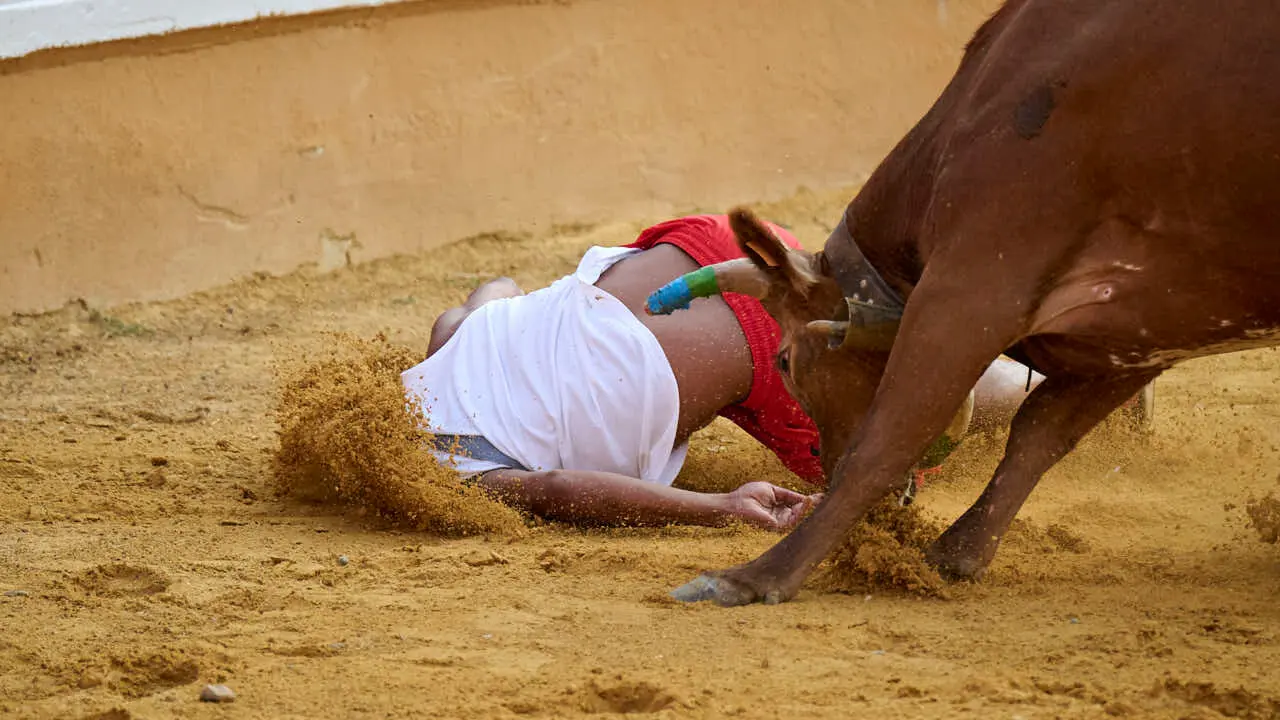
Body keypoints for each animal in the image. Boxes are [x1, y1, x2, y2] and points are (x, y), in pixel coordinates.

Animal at [644, 0, 1280, 606]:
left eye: (784, 363)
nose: (820, 461)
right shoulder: (1135, 335)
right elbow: (1039, 432)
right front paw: (955, 554)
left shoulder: (970, 285)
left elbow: (885, 442)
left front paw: (753, 577)